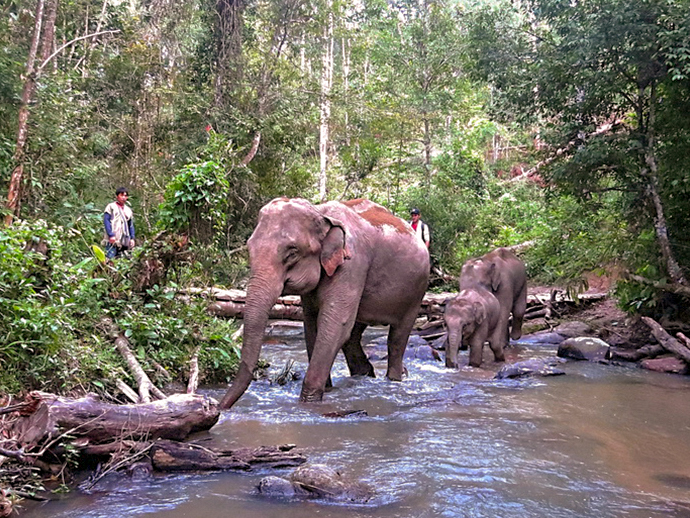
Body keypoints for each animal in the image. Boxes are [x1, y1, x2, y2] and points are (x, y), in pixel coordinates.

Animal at [218, 198, 428, 410]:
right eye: (249, 248)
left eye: (292, 253)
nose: (219, 406)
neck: (320, 212)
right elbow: (312, 325)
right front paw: (326, 391)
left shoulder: (352, 264)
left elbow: (335, 325)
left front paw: (308, 404)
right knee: (354, 335)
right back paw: (365, 374)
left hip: (416, 292)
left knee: (396, 338)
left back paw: (393, 380)